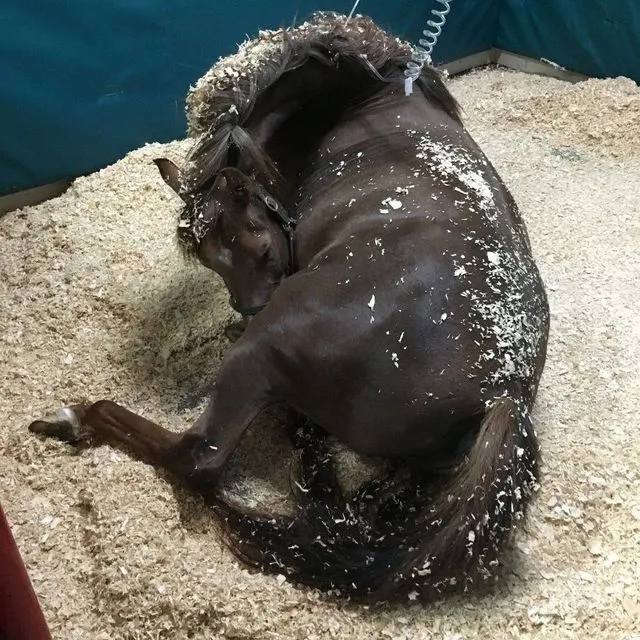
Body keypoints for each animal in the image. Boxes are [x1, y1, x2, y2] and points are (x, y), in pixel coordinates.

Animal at [29, 13, 550, 602]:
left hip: (256, 358)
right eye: (209, 262)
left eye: (259, 249)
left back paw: (75, 417)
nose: (249, 309)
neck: (365, 97)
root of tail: (502, 395)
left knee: (199, 456)